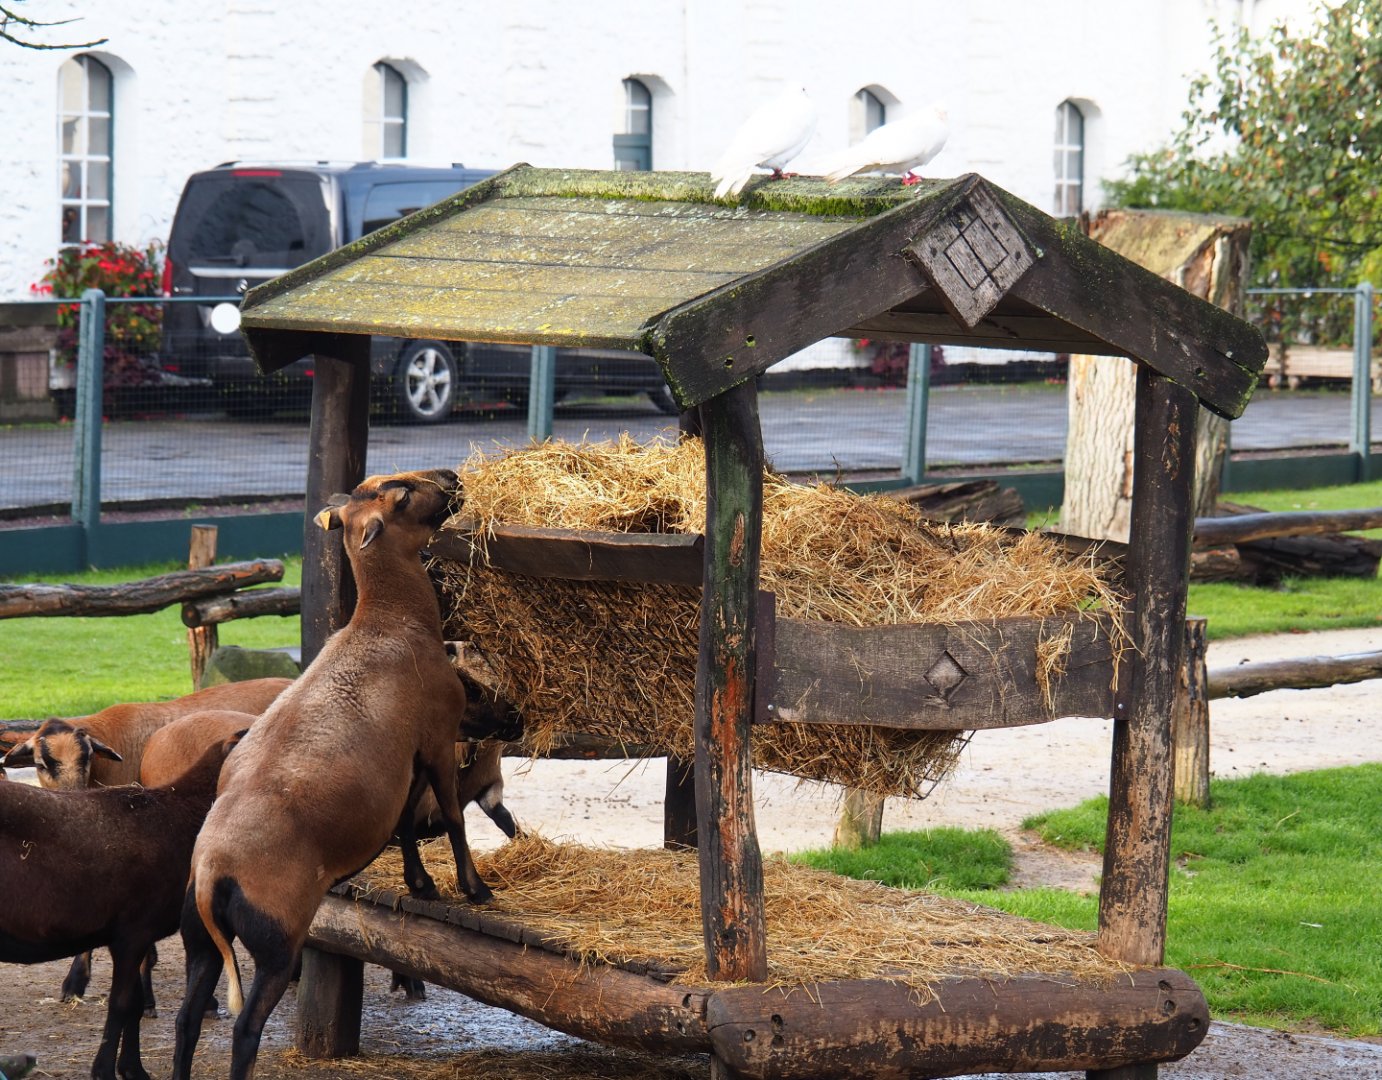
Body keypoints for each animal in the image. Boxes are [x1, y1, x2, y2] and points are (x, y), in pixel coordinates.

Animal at [0, 734, 242, 1080]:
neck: (181, 810)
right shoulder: (133, 932)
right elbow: (121, 1004)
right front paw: (104, 1070)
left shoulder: (139, 936)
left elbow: (136, 1004)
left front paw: (133, 1069)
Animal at [172, 469, 494, 1080]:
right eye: (402, 493)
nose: (451, 478)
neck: (391, 620)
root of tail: (210, 875)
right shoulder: (438, 737)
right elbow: (451, 816)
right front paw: (474, 888)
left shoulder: (401, 762)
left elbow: (406, 822)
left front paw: (421, 883)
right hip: (277, 941)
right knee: (245, 1028)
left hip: (200, 941)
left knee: (185, 1021)